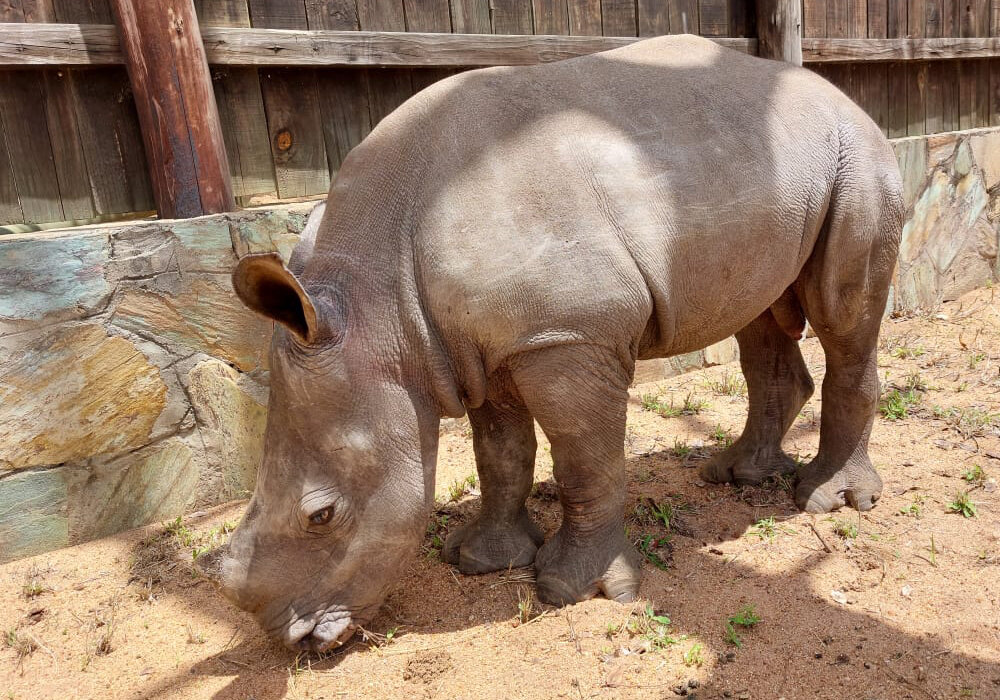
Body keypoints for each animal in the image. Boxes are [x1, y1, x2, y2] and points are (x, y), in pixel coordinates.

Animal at [200, 34, 903, 653]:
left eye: (322, 516)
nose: (294, 643)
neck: (377, 303)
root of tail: (837, 94)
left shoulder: (567, 335)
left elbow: (584, 460)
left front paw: (572, 590)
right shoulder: (479, 349)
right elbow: (500, 454)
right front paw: (480, 561)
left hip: (856, 159)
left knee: (844, 318)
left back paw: (827, 501)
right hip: (772, 170)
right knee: (757, 310)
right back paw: (737, 476)